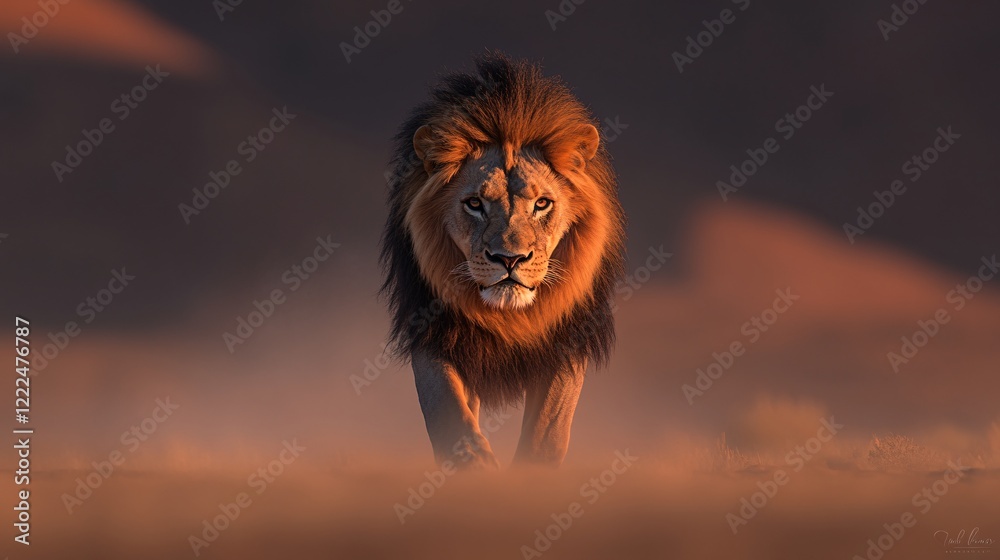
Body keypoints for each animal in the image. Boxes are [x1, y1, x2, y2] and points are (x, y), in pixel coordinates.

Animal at [380, 52, 626, 469]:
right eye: (474, 204)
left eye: (542, 204)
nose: (509, 259)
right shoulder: (433, 328)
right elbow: (449, 413)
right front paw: (475, 469)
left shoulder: (566, 338)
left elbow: (548, 429)